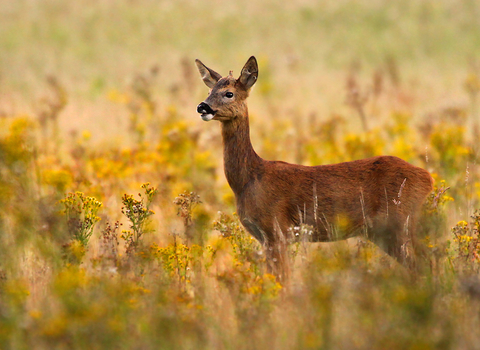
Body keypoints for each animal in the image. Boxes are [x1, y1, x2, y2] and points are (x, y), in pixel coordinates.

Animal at [195, 56, 436, 274]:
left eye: (229, 93)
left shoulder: (277, 230)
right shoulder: (267, 237)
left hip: (400, 221)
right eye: (209, 91)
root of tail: (428, 178)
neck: (249, 179)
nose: (202, 106)